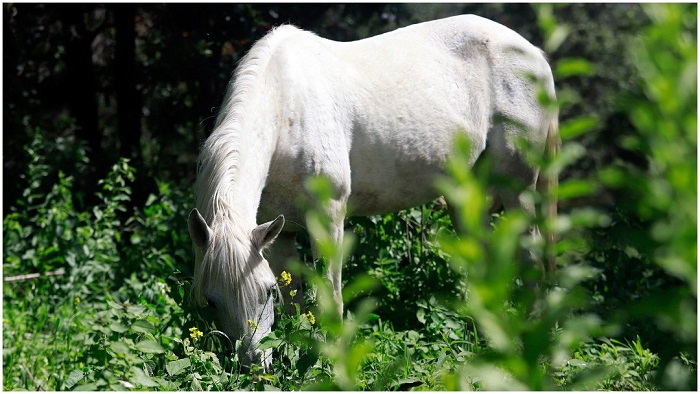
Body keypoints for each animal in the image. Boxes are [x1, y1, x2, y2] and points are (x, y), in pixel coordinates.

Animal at [186, 13, 556, 368]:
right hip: (466, 196)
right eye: (212, 301)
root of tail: (533, 54)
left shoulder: (328, 219)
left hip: (519, 186)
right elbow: (295, 304)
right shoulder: (279, 235)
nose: (253, 365)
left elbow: (330, 299)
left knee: (531, 258)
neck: (286, 108)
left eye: (266, 292)